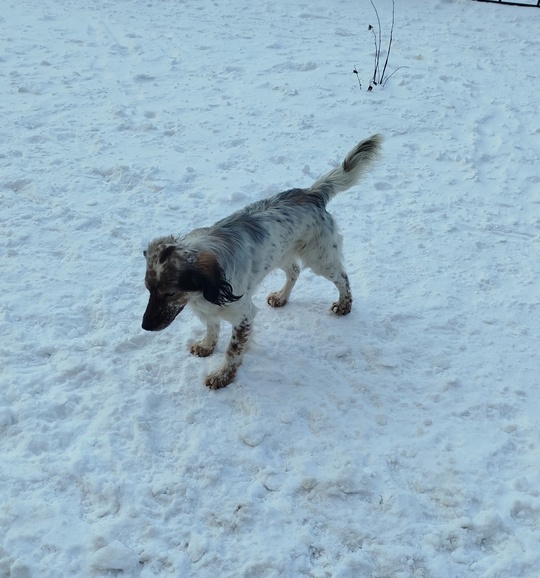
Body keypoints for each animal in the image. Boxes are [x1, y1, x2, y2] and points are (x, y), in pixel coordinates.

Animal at [141, 134, 382, 388]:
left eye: (170, 293)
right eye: (148, 289)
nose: (145, 326)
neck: (206, 291)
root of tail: (312, 194)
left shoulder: (244, 316)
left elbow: (233, 351)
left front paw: (222, 377)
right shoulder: (208, 308)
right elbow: (212, 327)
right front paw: (206, 346)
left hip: (320, 257)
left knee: (342, 277)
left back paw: (344, 305)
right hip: (281, 254)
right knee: (294, 270)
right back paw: (281, 297)